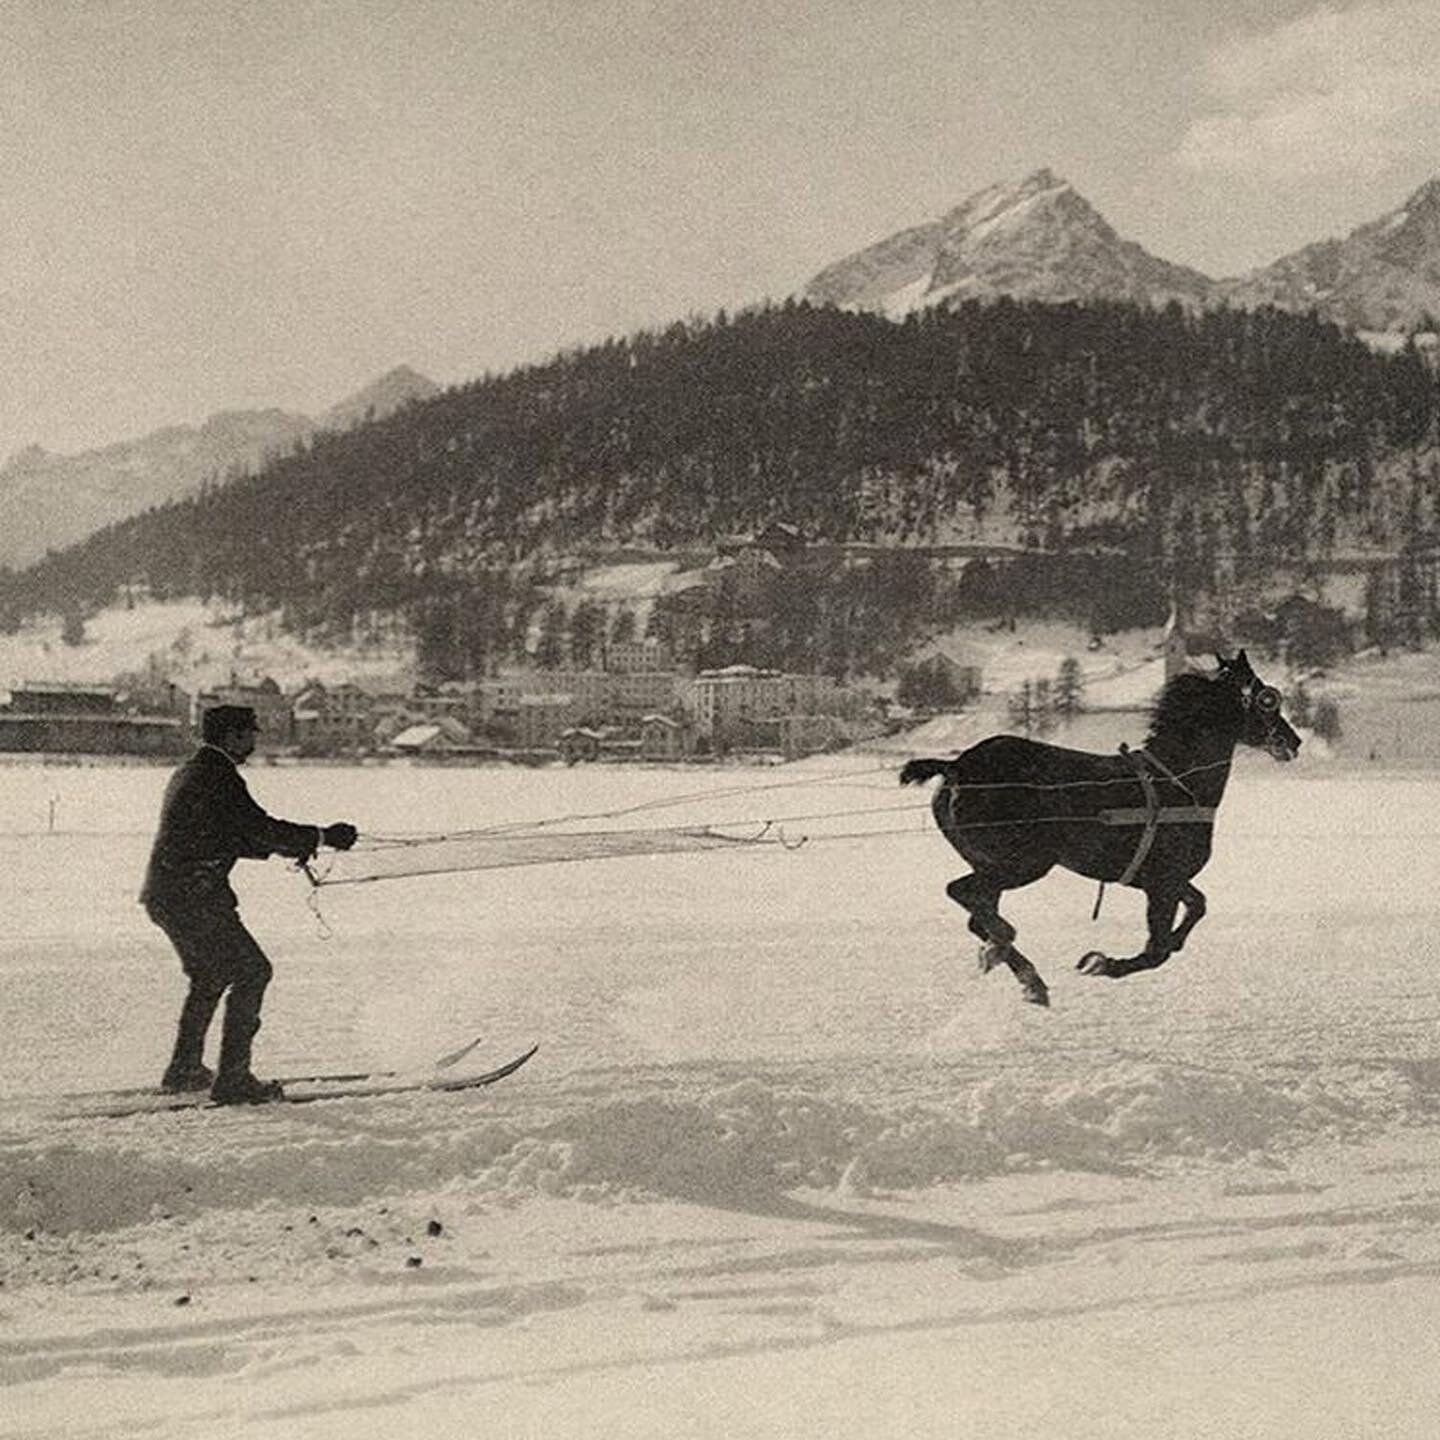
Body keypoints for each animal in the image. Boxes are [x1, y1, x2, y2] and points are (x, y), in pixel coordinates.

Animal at [898, 648, 1296, 1008]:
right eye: (1267, 700)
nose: (1293, 741)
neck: (1177, 782)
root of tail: (956, 767)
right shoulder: (1162, 882)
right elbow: (1156, 951)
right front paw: (1102, 963)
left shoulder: (1164, 878)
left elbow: (1197, 906)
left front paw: (1171, 941)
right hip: (1023, 864)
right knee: (962, 893)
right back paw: (1016, 960)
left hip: (993, 864)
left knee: (977, 915)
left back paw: (1013, 964)